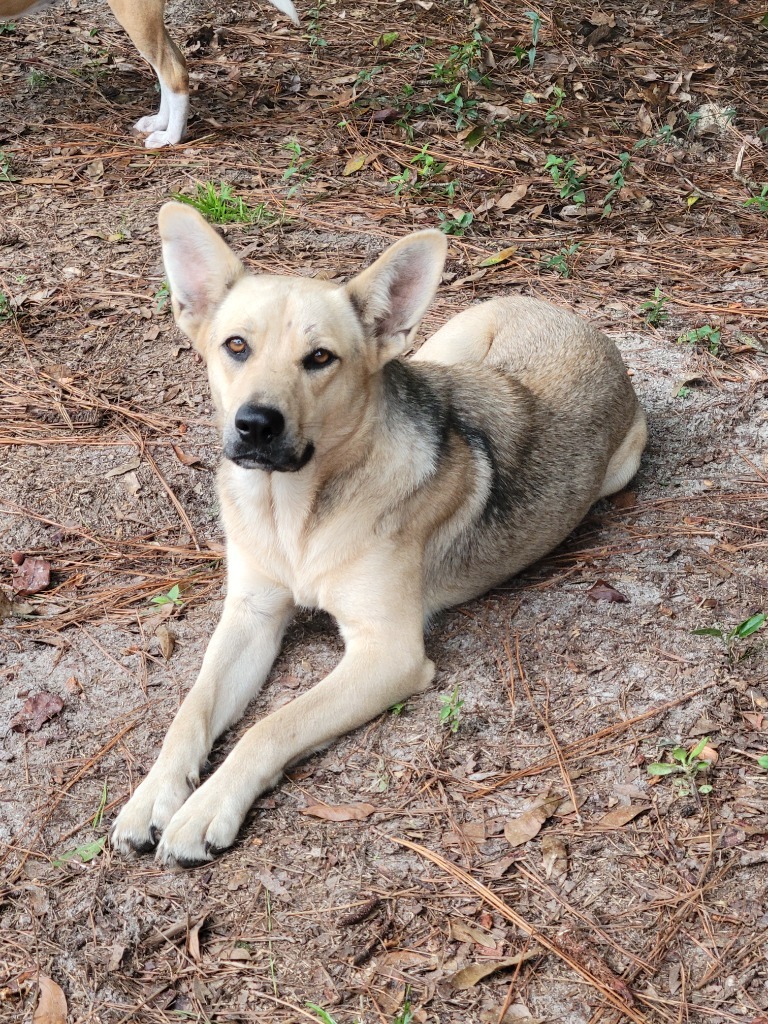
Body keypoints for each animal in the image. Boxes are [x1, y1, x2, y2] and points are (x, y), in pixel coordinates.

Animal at [111, 201, 647, 864]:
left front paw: (206, 807)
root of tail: (579, 321)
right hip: (440, 346)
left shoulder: (387, 654)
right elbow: (191, 710)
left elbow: (272, 725)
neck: (295, 514)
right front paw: (154, 795)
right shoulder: (251, 613)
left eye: (320, 358)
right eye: (236, 345)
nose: (256, 424)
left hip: (617, 470)